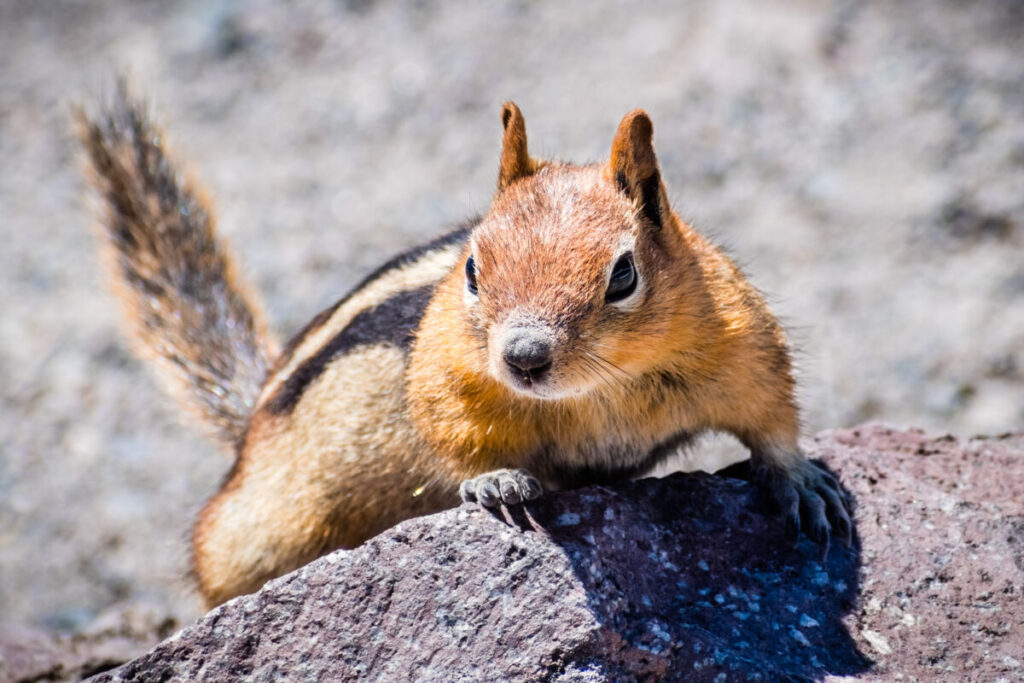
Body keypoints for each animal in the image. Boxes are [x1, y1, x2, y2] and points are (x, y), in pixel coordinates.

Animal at [77, 87, 847, 610]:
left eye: (624, 274)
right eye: (473, 269)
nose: (524, 356)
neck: (600, 389)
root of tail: (250, 424)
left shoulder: (741, 338)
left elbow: (772, 413)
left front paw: (804, 483)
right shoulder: (448, 377)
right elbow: (453, 437)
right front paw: (496, 481)